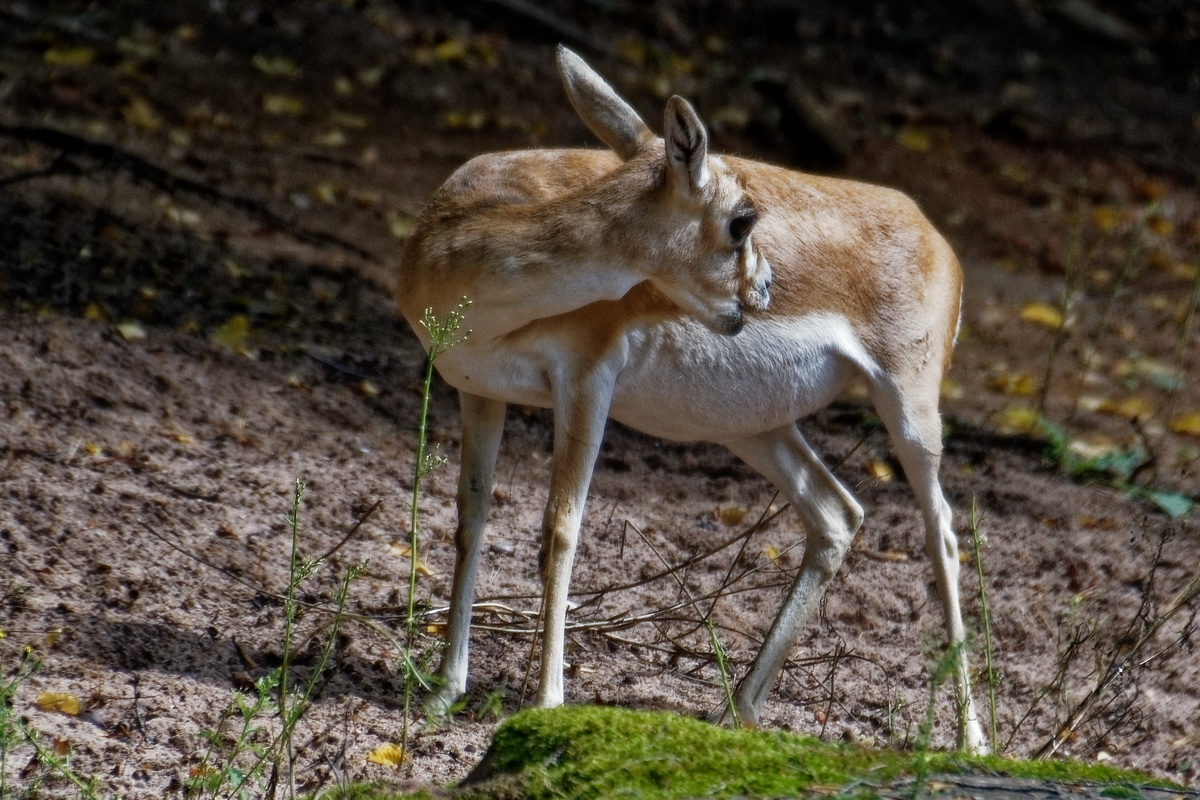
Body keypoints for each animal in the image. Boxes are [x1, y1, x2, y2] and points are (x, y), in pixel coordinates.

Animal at [398, 47, 988, 753]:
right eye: (742, 219)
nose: (764, 287)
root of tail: (932, 232)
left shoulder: (586, 379)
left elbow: (560, 530)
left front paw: (544, 704)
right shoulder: (476, 390)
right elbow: (470, 519)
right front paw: (443, 691)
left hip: (909, 407)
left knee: (942, 533)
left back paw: (973, 741)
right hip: (751, 428)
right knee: (838, 515)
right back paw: (735, 713)